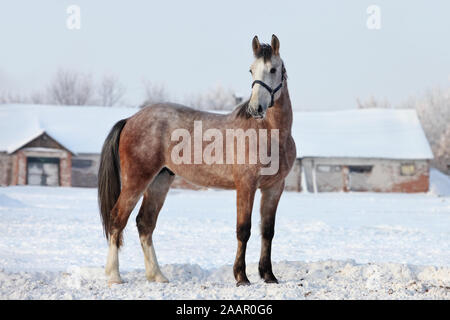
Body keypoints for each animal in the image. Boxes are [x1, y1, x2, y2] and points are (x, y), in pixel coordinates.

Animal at [96, 33, 298, 286]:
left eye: (273, 69)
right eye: (251, 70)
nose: (256, 108)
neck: (268, 132)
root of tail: (130, 119)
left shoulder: (274, 188)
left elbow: (267, 231)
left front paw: (268, 275)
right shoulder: (246, 185)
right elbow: (244, 230)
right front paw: (241, 277)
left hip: (160, 181)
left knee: (145, 223)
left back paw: (157, 275)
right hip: (136, 180)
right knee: (117, 219)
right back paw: (114, 275)